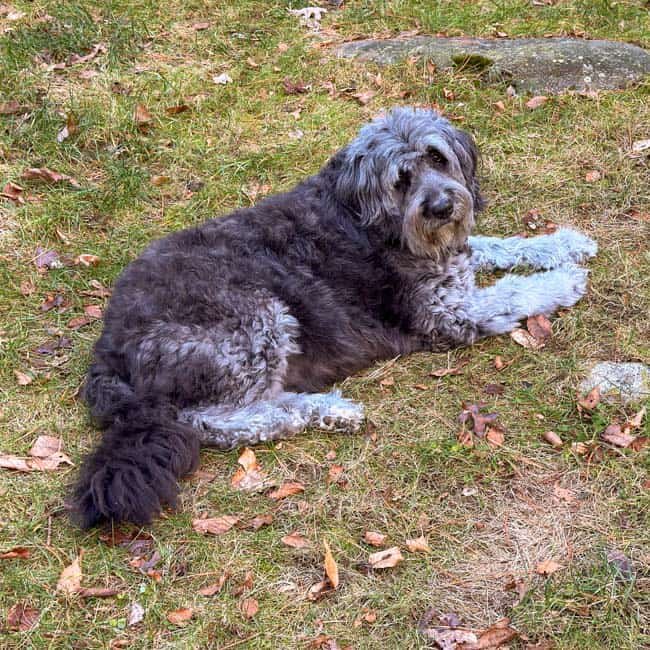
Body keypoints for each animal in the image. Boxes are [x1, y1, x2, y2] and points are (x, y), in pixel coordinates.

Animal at [71, 107, 597, 528]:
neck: (369, 213)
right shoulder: (448, 313)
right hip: (257, 323)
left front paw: (564, 243)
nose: (444, 207)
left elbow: (499, 246)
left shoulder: (455, 259)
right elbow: (516, 290)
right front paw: (565, 279)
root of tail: (108, 348)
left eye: (436, 158)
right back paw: (324, 410)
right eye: (401, 178)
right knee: (216, 420)